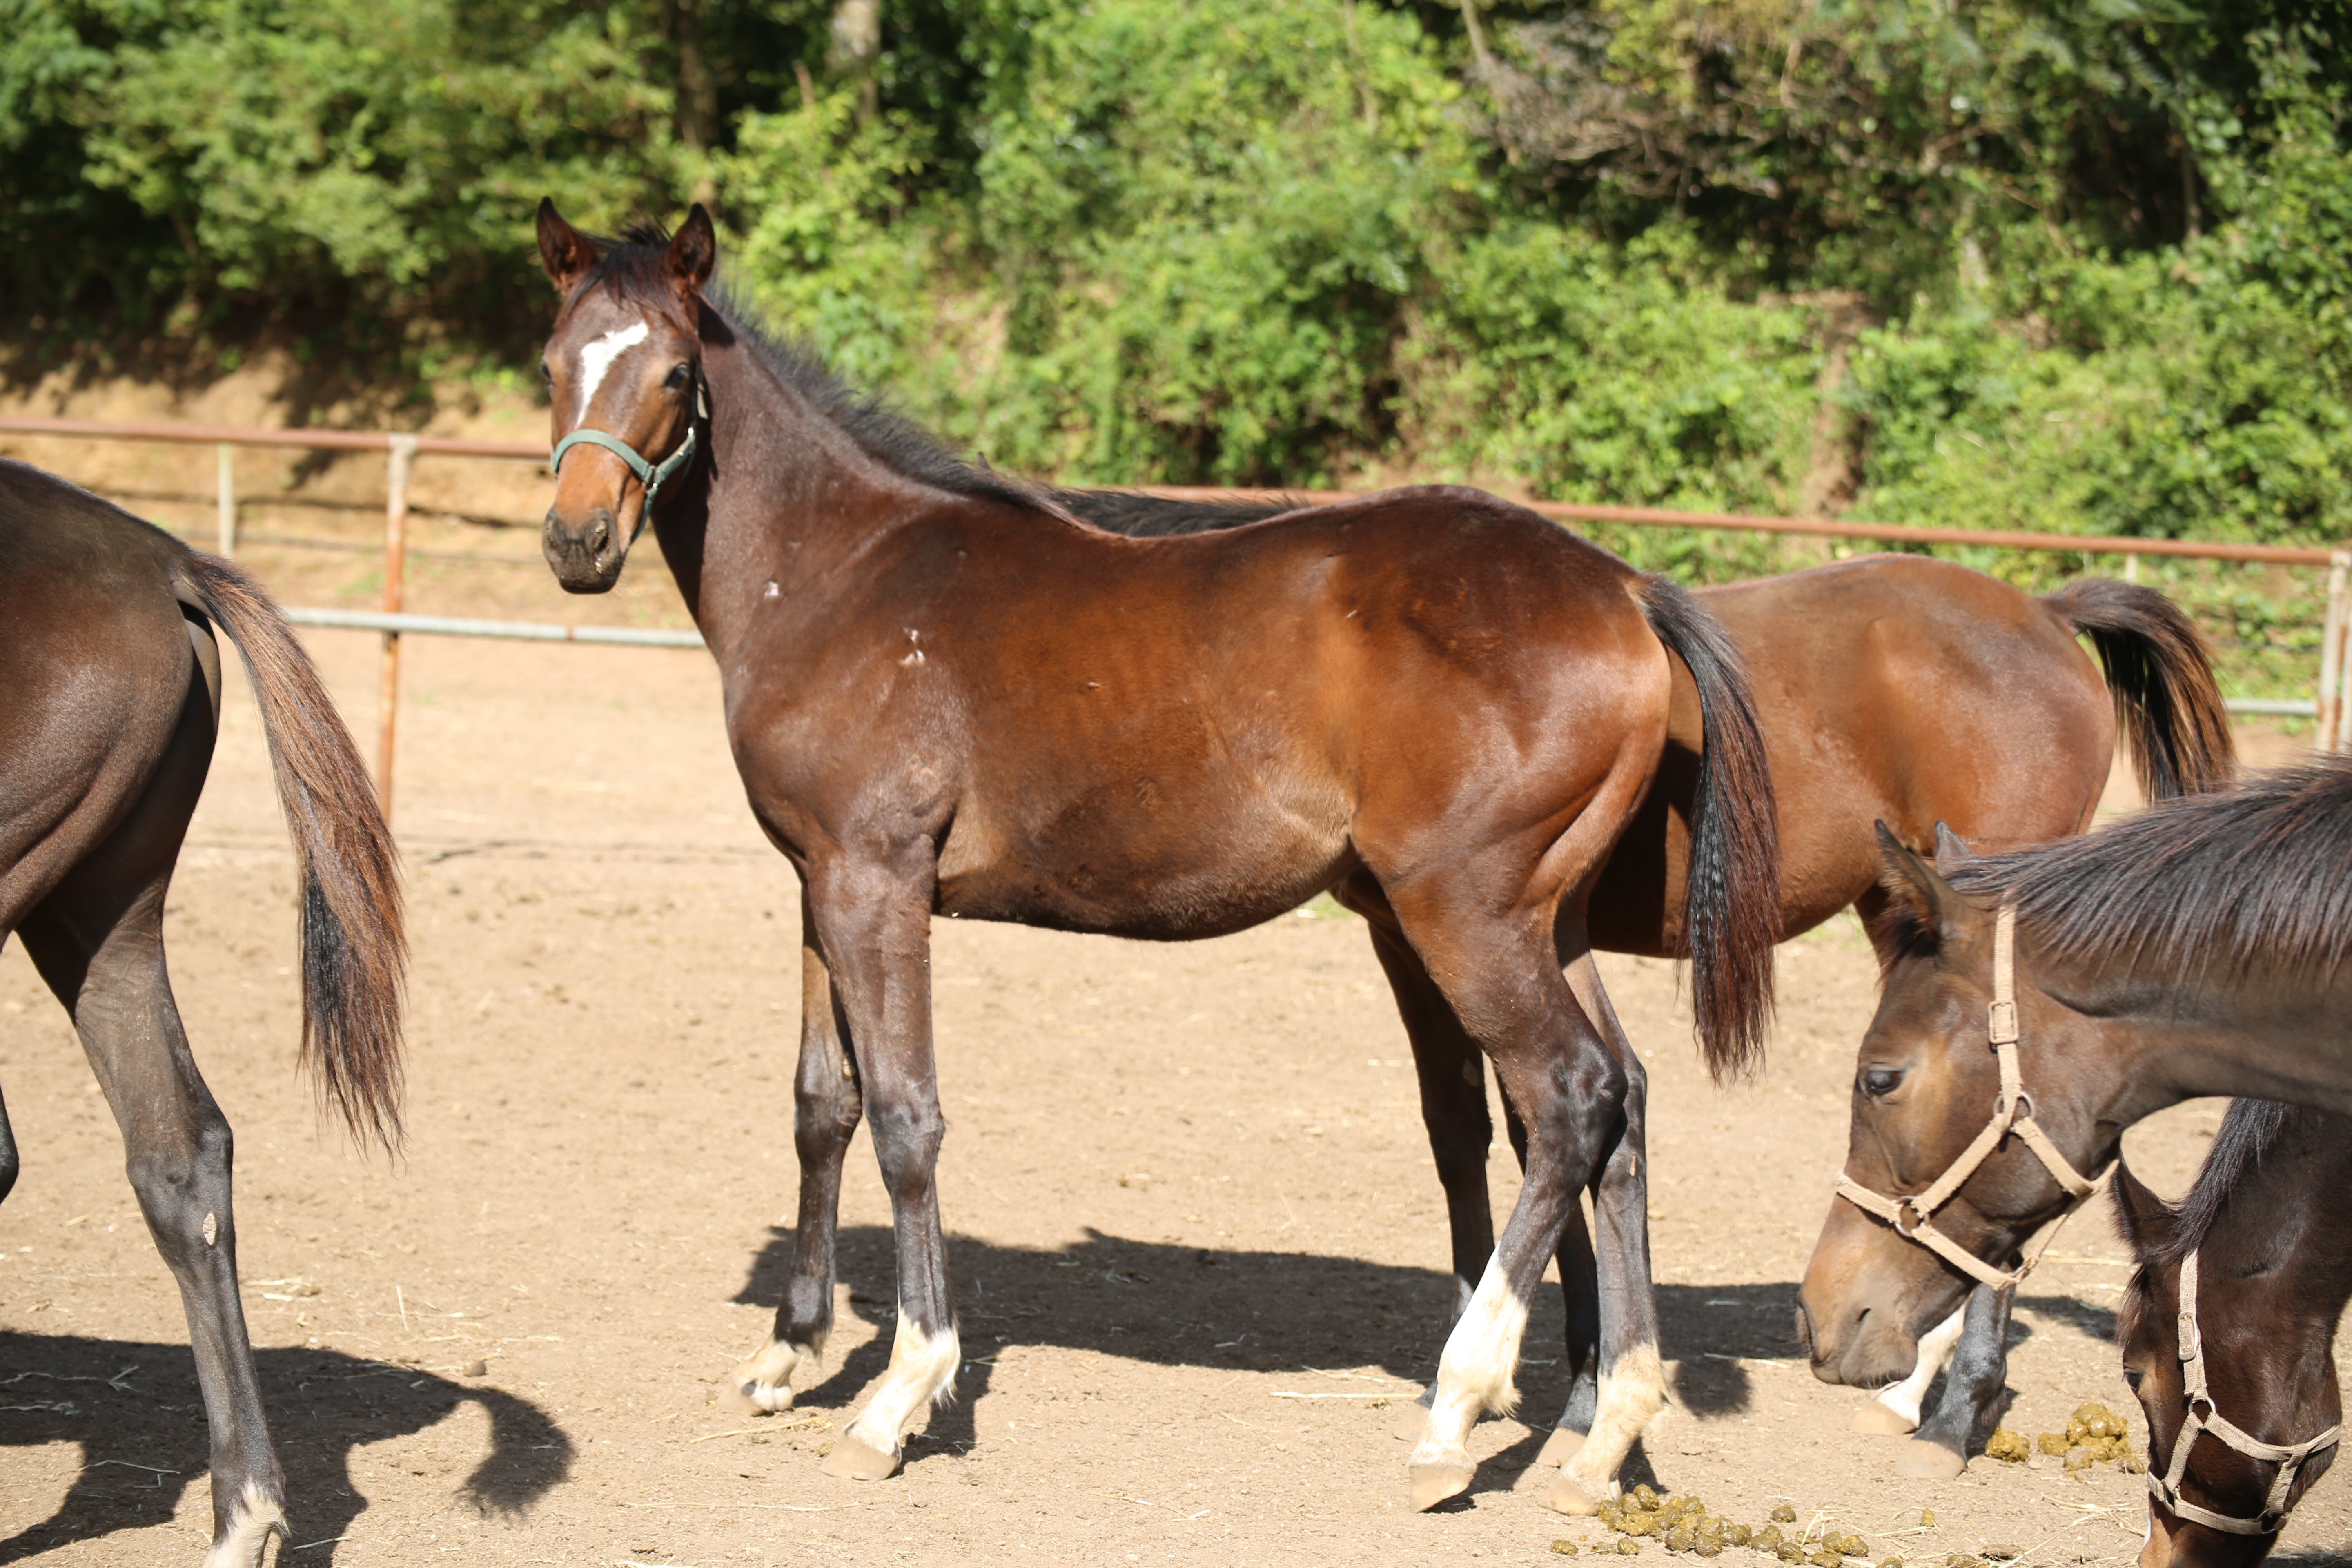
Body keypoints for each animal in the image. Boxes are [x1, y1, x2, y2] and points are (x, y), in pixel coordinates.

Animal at [534, 202, 1778, 1514]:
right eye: (553, 360)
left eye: (676, 372)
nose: (578, 541)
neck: (841, 575)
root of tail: (1626, 589)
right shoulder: (816, 882)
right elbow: (823, 1104)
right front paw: (789, 1351)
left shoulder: (878, 883)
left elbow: (907, 1119)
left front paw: (899, 1393)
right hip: (1549, 919)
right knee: (1622, 1102)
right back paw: (1606, 1431)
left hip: (1465, 915)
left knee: (1569, 1095)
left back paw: (1458, 1410)